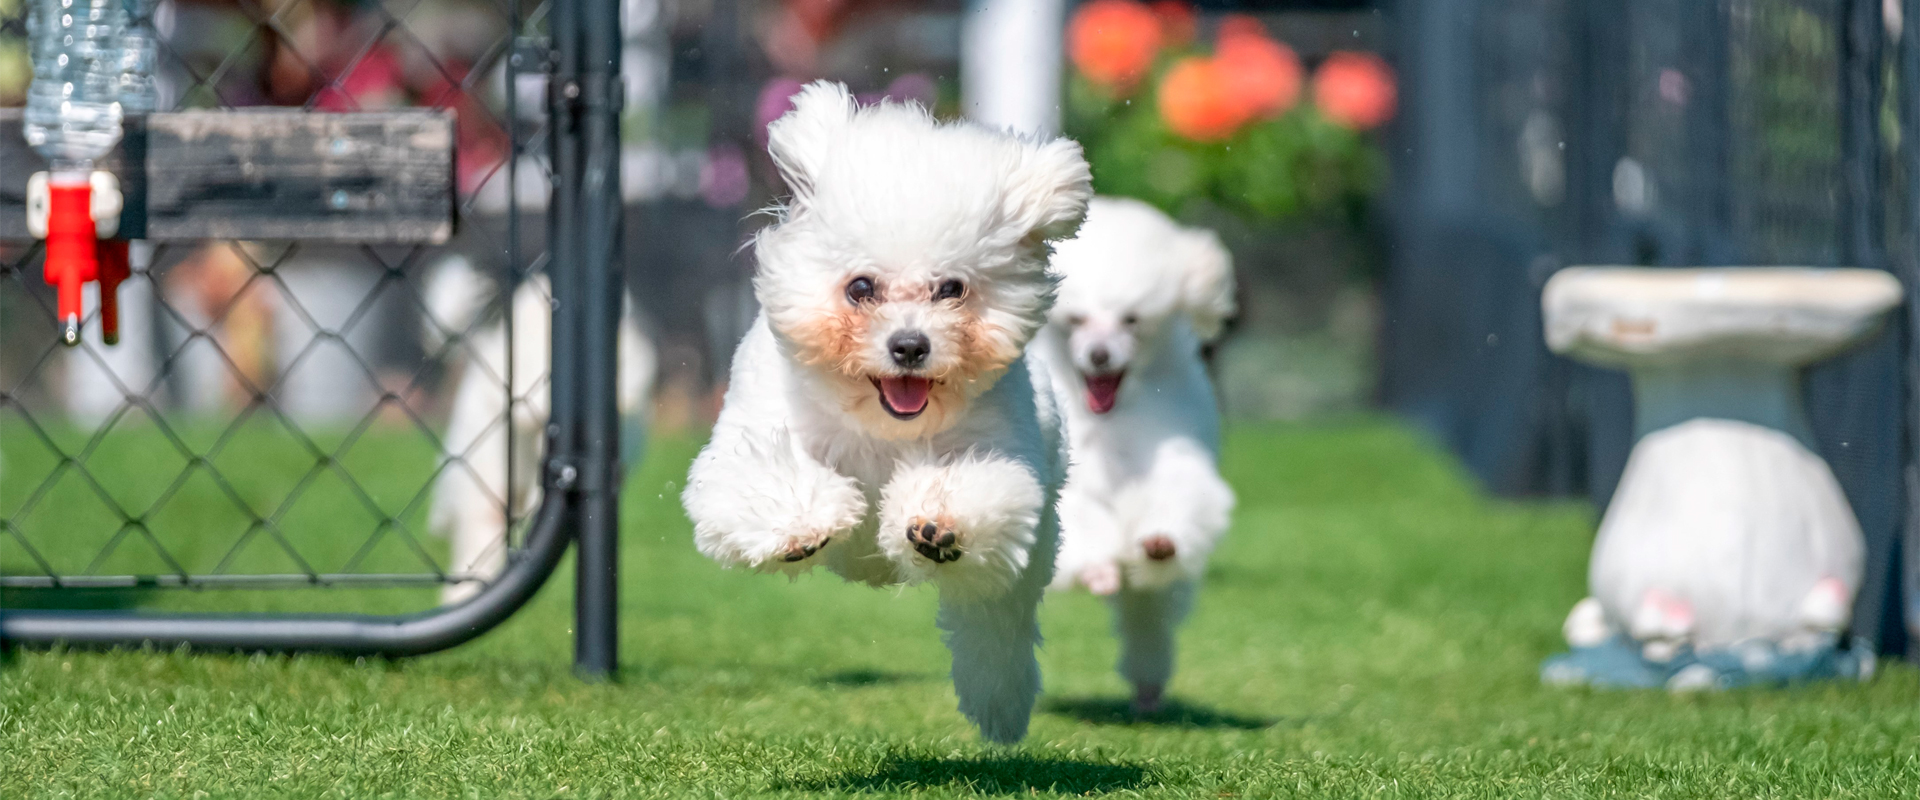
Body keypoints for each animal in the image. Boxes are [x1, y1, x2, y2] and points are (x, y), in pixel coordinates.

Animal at [683, 81, 1090, 740]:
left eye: (952, 288)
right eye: (860, 288)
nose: (909, 345)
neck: (880, 425)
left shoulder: (994, 450)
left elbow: (968, 489)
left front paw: (938, 526)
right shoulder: (758, 427)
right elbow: (764, 476)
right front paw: (802, 524)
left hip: (1028, 553)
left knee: (995, 618)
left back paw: (999, 702)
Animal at [1029, 196, 1236, 713]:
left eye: (1131, 319)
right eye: (1076, 320)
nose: (1100, 356)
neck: (1108, 416)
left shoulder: (1171, 454)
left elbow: (1175, 493)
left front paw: (1160, 540)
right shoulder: (1069, 481)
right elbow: (1078, 516)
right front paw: (1098, 569)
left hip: (1154, 594)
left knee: (1149, 615)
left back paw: (1147, 685)